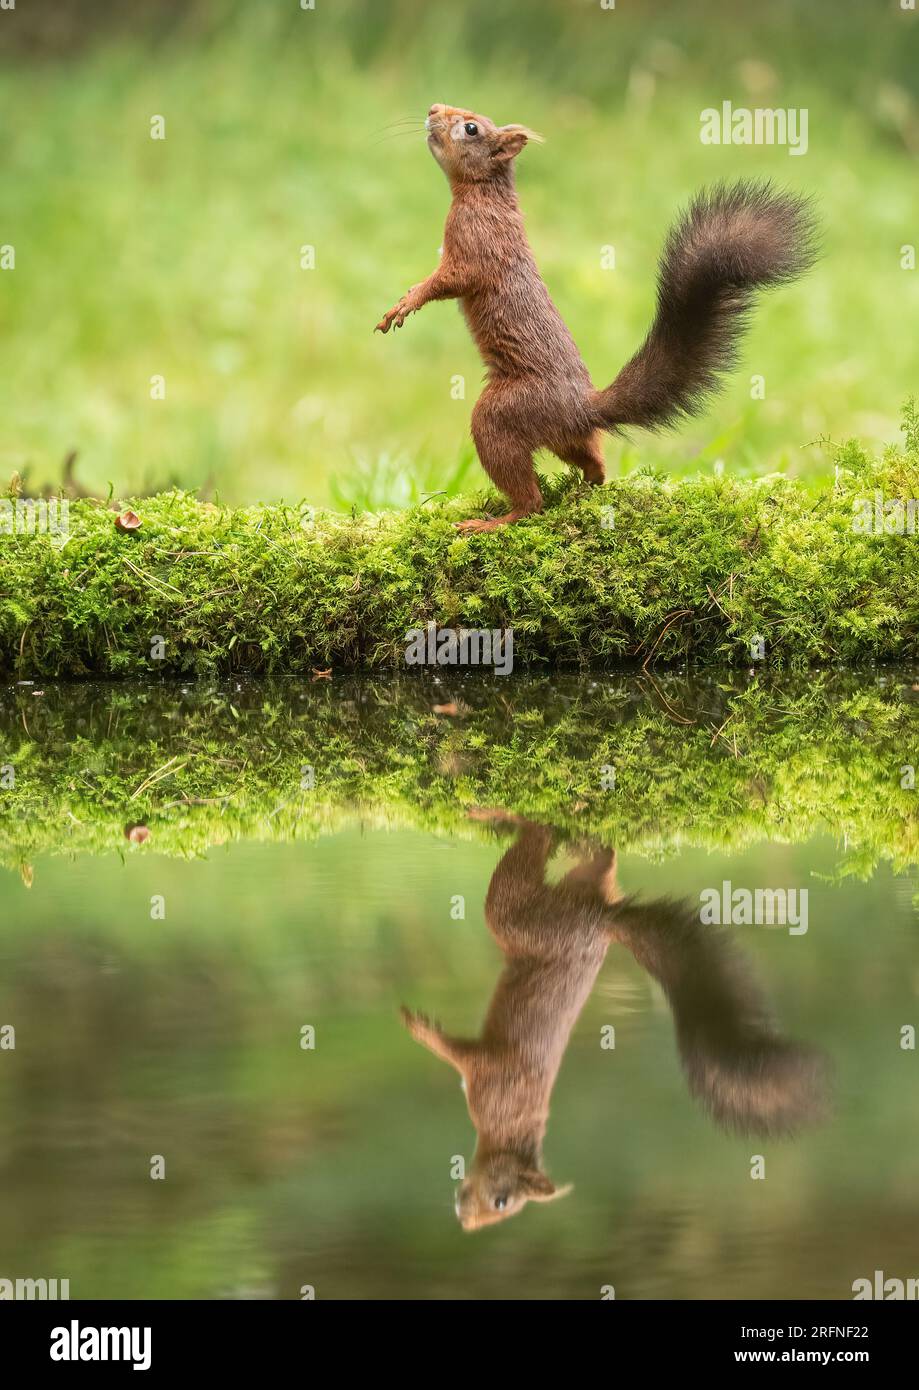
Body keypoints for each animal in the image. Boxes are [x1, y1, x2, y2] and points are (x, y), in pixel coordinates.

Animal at [375, 102, 817, 530]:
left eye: (471, 128)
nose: (433, 110)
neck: (482, 194)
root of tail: (582, 407)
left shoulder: (476, 246)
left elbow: (449, 280)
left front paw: (407, 303)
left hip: (502, 414)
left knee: (530, 499)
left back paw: (495, 521)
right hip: (565, 437)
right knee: (594, 459)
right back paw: (586, 486)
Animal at [400, 811, 823, 1228]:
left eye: (501, 1202)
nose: (466, 1221)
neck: (510, 1129)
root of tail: (603, 921)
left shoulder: (493, 1077)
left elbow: (460, 1054)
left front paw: (422, 1029)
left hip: (518, 916)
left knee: (526, 858)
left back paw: (511, 816)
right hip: (583, 886)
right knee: (603, 860)